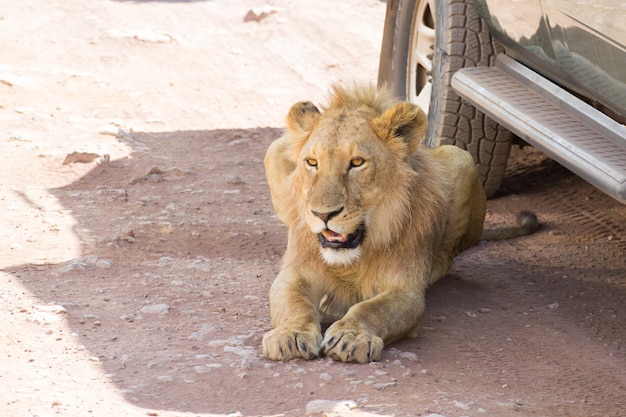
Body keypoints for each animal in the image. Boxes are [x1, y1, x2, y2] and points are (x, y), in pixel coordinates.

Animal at [260, 83, 532, 360]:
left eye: (357, 162)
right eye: (312, 163)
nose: (323, 214)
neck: (354, 256)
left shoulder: (405, 290)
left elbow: (372, 309)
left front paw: (352, 336)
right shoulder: (296, 272)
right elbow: (295, 302)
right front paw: (292, 334)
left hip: (461, 158)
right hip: (275, 147)